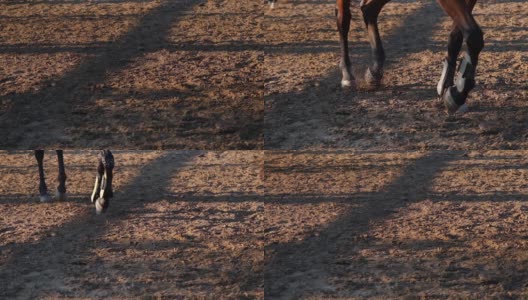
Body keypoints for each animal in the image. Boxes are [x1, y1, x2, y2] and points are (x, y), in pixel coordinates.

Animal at [338, 0, 482, 113]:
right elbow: (474, 36)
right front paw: (457, 94)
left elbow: (458, 35)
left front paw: (449, 87)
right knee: (343, 20)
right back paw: (347, 74)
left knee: (369, 9)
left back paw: (375, 70)